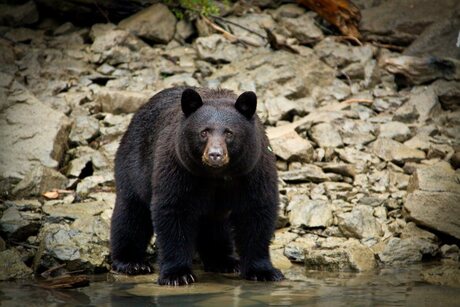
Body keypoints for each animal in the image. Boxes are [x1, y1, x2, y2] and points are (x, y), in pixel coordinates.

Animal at [111, 86, 284, 286]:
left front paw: (263, 271)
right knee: (131, 215)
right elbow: (173, 210)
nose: (215, 154)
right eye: (204, 132)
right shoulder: (179, 168)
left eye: (229, 133)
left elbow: (256, 212)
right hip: (134, 165)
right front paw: (177, 274)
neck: (217, 175)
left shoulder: (252, 169)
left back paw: (223, 260)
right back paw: (132, 262)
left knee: (215, 225)